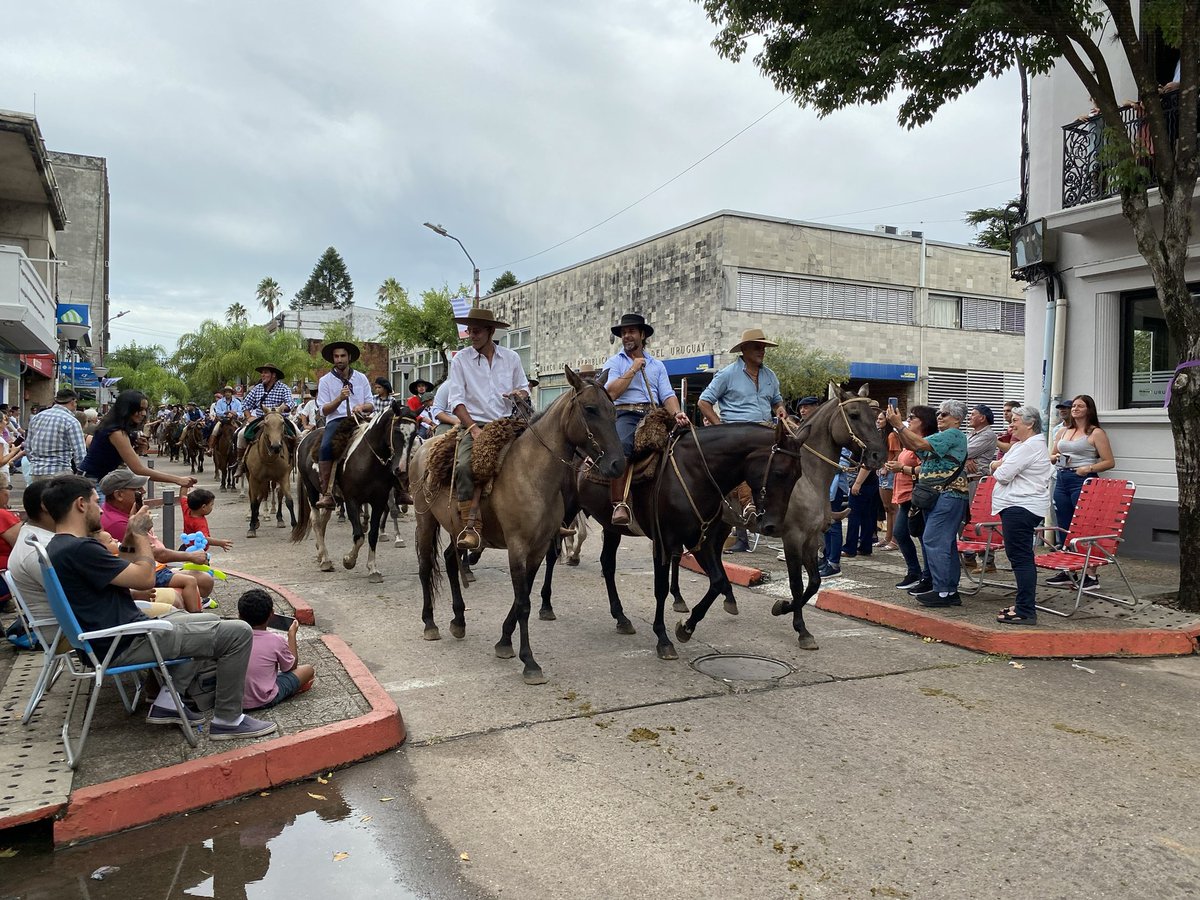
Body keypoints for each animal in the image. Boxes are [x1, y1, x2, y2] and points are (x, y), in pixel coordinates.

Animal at [240, 412, 294, 540]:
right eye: (266, 424)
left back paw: (277, 518)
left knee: (273, 494)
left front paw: (294, 526)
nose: (276, 446)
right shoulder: (254, 478)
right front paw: (252, 527)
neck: (268, 458)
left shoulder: (283, 476)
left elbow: (288, 500)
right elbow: (254, 502)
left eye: (282, 423)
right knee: (256, 496)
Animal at [289, 403, 417, 585]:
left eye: (415, 433)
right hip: (311, 490)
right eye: (398, 430)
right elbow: (359, 536)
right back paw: (325, 560)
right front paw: (349, 560)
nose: (402, 470)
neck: (368, 460)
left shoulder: (379, 501)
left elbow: (372, 534)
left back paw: (321, 554)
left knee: (323, 518)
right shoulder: (351, 500)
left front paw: (373, 569)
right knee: (315, 521)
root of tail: (305, 439)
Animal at [412, 364, 624, 681]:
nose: (618, 464)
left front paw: (504, 641)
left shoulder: (538, 548)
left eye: (613, 410)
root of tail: (425, 447)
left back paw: (458, 620)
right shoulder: (517, 546)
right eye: (590, 409)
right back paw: (430, 623)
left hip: (455, 528)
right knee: (426, 566)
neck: (532, 474)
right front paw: (529, 661)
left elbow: (523, 596)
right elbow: (523, 602)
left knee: (450, 560)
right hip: (424, 519)